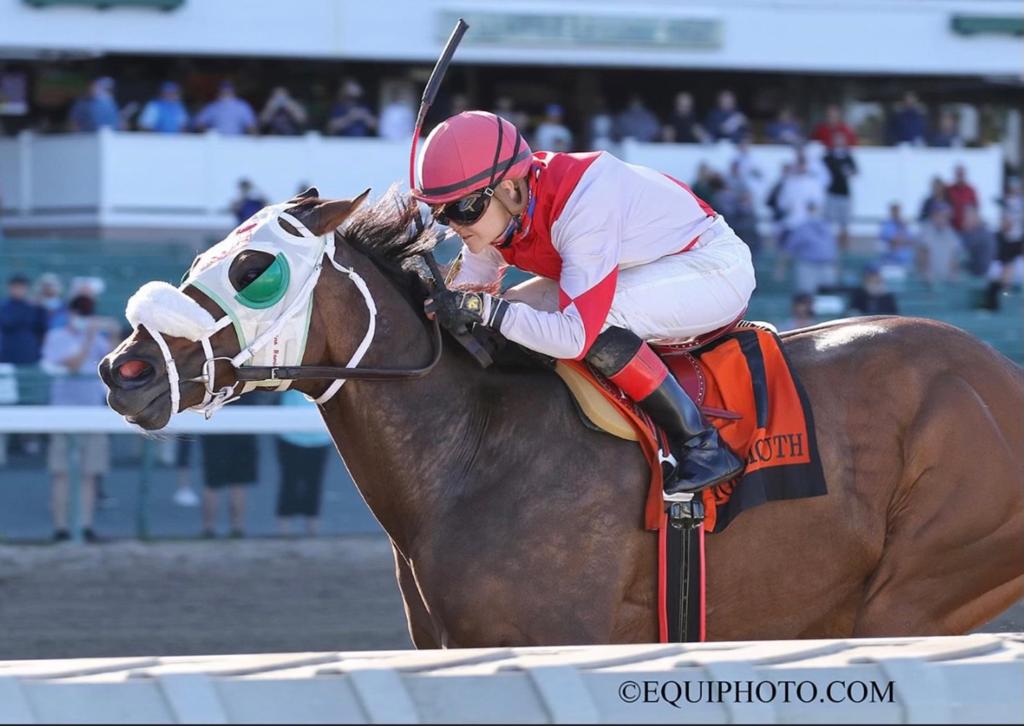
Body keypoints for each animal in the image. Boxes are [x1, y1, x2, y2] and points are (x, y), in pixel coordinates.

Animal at [97, 189, 1024, 647]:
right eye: (202, 257)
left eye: (254, 269)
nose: (122, 367)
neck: (474, 449)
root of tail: (1000, 373)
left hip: (917, 589)